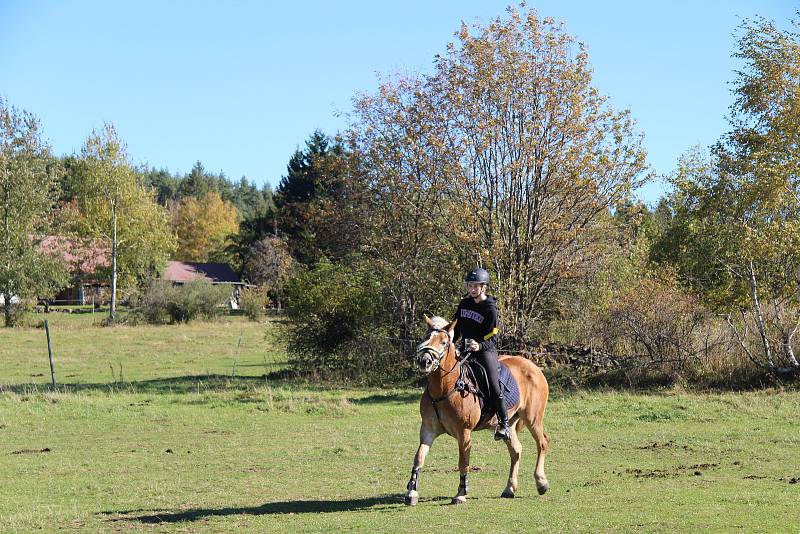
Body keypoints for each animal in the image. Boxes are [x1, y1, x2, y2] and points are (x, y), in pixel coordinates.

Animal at [406, 316, 552, 508]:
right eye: (426, 338)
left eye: (444, 342)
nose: (425, 361)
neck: (446, 387)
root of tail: (533, 367)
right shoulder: (428, 430)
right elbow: (419, 458)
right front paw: (412, 492)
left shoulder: (464, 432)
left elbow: (463, 463)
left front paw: (461, 494)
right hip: (509, 423)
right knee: (516, 450)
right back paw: (509, 489)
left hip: (532, 418)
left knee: (542, 442)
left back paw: (541, 482)